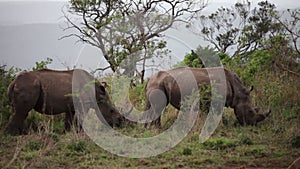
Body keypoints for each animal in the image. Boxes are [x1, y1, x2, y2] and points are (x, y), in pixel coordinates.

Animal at [142, 66, 270, 127]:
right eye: (250, 111)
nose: (252, 125)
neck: (238, 92)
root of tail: (149, 79)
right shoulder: (216, 100)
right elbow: (215, 115)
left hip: (156, 84)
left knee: (152, 107)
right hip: (157, 84)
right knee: (158, 108)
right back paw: (157, 129)